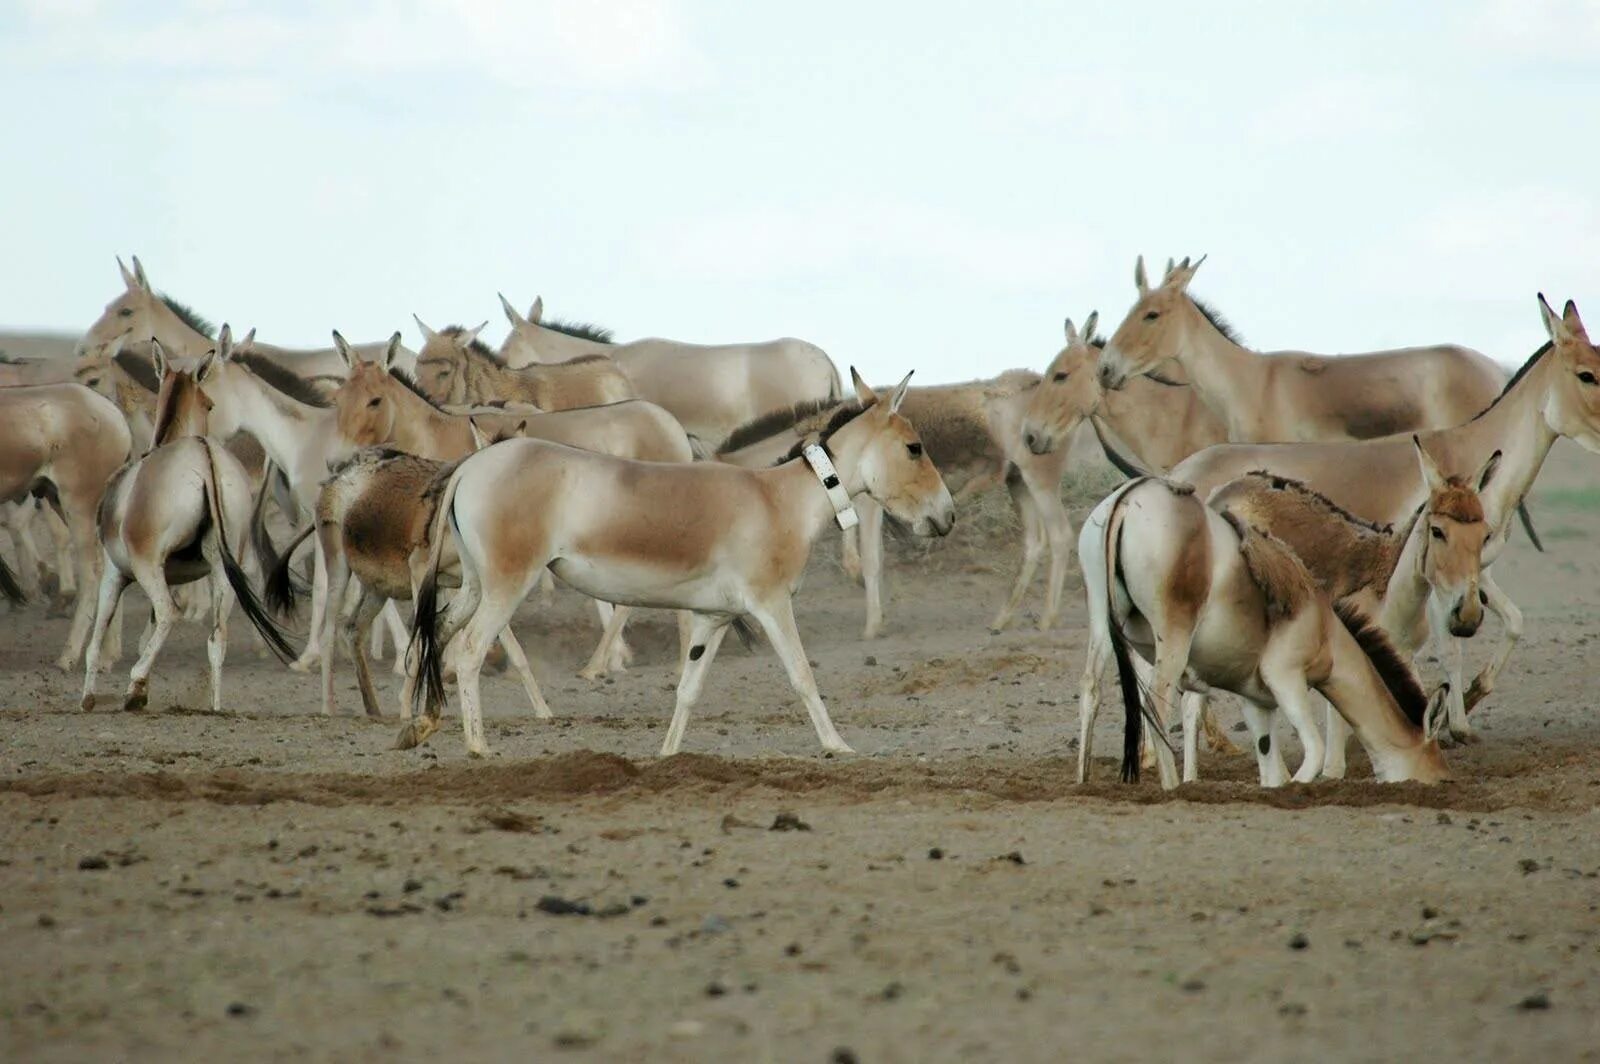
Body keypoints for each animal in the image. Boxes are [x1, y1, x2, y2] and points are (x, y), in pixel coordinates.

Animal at [403, 371, 947, 755]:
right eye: (914, 448)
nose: (948, 516)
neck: (784, 500)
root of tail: (471, 465)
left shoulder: (714, 616)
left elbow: (689, 689)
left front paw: (667, 756)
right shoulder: (771, 604)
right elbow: (802, 675)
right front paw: (838, 745)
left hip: (474, 583)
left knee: (433, 636)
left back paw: (416, 726)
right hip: (507, 582)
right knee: (468, 650)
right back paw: (477, 746)